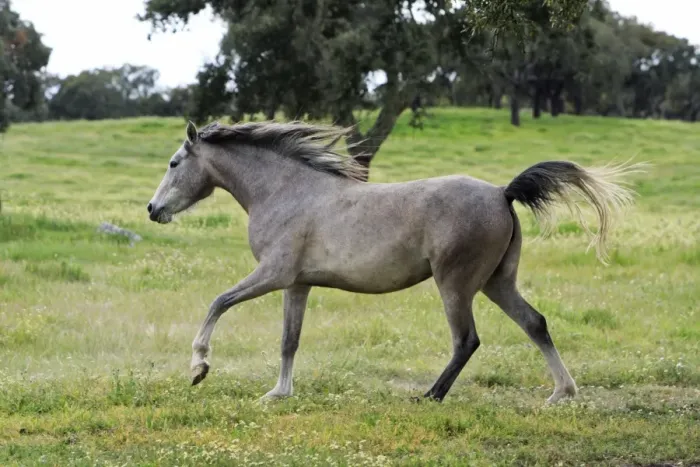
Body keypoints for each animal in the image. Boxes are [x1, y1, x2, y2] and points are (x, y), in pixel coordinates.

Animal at [146, 120, 643, 404]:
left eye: (173, 163)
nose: (153, 210)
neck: (286, 191)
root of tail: (502, 193)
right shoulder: (297, 284)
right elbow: (289, 340)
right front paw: (279, 393)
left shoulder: (273, 273)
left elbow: (218, 302)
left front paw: (198, 368)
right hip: (497, 282)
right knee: (534, 323)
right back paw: (562, 392)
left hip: (455, 284)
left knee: (467, 340)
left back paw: (430, 396)